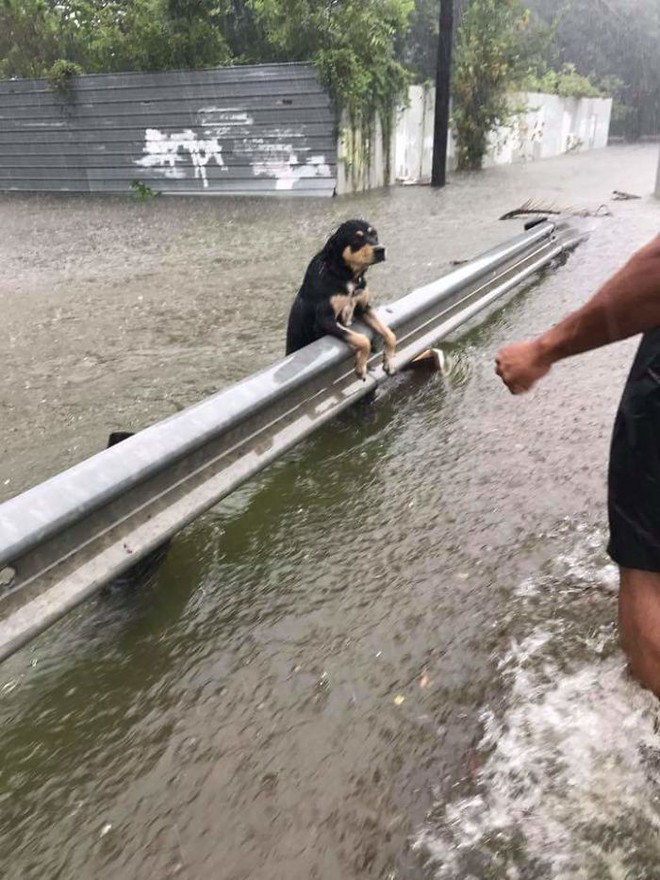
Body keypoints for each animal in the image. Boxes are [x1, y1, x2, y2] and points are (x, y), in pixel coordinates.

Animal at [284, 219, 398, 378]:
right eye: (357, 239)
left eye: (374, 234)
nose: (380, 249)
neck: (345, 276)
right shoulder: (325, 320)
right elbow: (362, 339)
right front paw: (361, 365)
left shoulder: (363, 308)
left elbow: (390, 334)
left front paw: (389, 360)